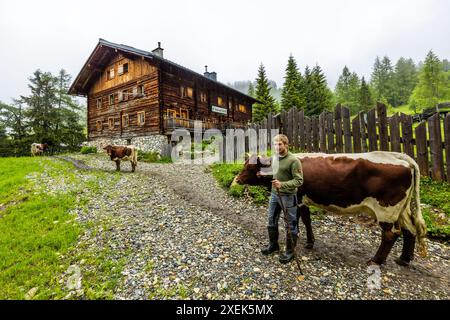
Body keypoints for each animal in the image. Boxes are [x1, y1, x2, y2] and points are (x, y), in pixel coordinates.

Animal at [234, 151, 428, 266]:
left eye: (250, 167)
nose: (237, 179)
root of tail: (399, 157)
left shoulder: (297, 199)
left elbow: (299, 221)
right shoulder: (304, 199)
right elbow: (307, 220)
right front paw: (310, 242)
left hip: (386, 209)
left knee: (390, 235)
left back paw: (376, 260)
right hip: (401, 210)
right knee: (410, 230)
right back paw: (403, 259)